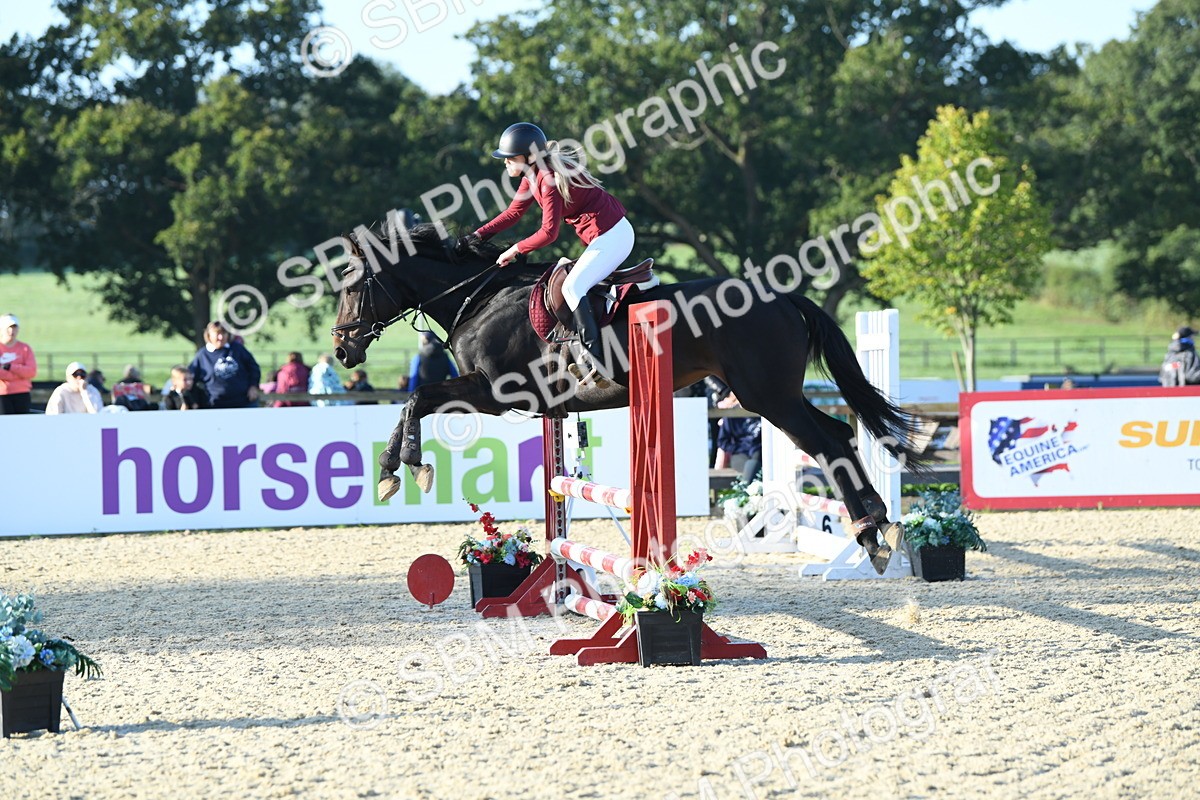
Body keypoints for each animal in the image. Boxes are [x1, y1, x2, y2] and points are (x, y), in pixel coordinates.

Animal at [331, 223, 923, 573]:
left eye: (353, 285)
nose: (341, 349)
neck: (478, 299)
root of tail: (781, 298)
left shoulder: (494, 393)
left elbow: (419, 398)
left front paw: (407, 465)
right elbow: (414, 402)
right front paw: (389, 471)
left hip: (768, 397)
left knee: (829, 440)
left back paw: (871, 532)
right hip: (774, 396)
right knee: (839, 433)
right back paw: (873, 529)